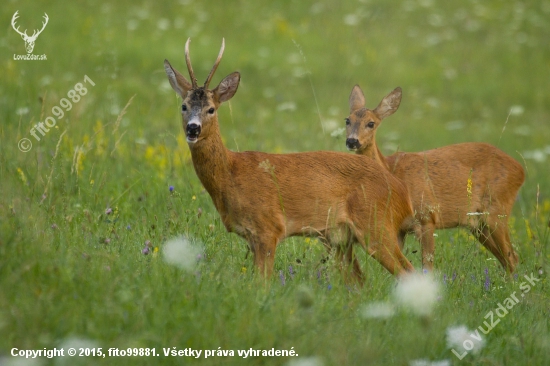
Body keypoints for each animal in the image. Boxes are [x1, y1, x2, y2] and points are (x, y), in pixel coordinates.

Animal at [164, 39, 418, 280]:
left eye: (211, 109)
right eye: (183, 106)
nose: (193, 129)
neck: (231, 174)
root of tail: (402, 191)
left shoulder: (269, 227)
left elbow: (262, 284)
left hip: (376, 225)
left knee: (408, 271)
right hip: (340, 238)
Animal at [348, 86, 524, 274]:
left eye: (371, 123)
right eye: (347, 120)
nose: (351, 141)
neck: (393, 172)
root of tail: (520, 170)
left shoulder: (427, 216)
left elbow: (427, 266)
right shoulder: (398, 229)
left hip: (497, 210)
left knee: (512, 257)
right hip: (477, 223)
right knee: (506, 259)